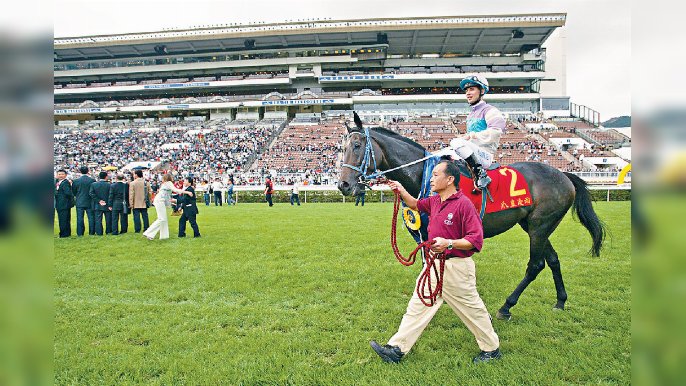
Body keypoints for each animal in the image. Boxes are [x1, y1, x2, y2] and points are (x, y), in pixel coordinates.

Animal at [338, 114, 608, 320]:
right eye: (342, 148)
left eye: (357, 146)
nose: (343, 185)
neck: (424, 175)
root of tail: (564, 175)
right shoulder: (424, 235)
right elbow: (429, 266)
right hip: (535, 226)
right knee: (552, 260)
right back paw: (560, 301)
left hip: (540, 227)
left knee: (535, 265)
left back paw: (506, 306)